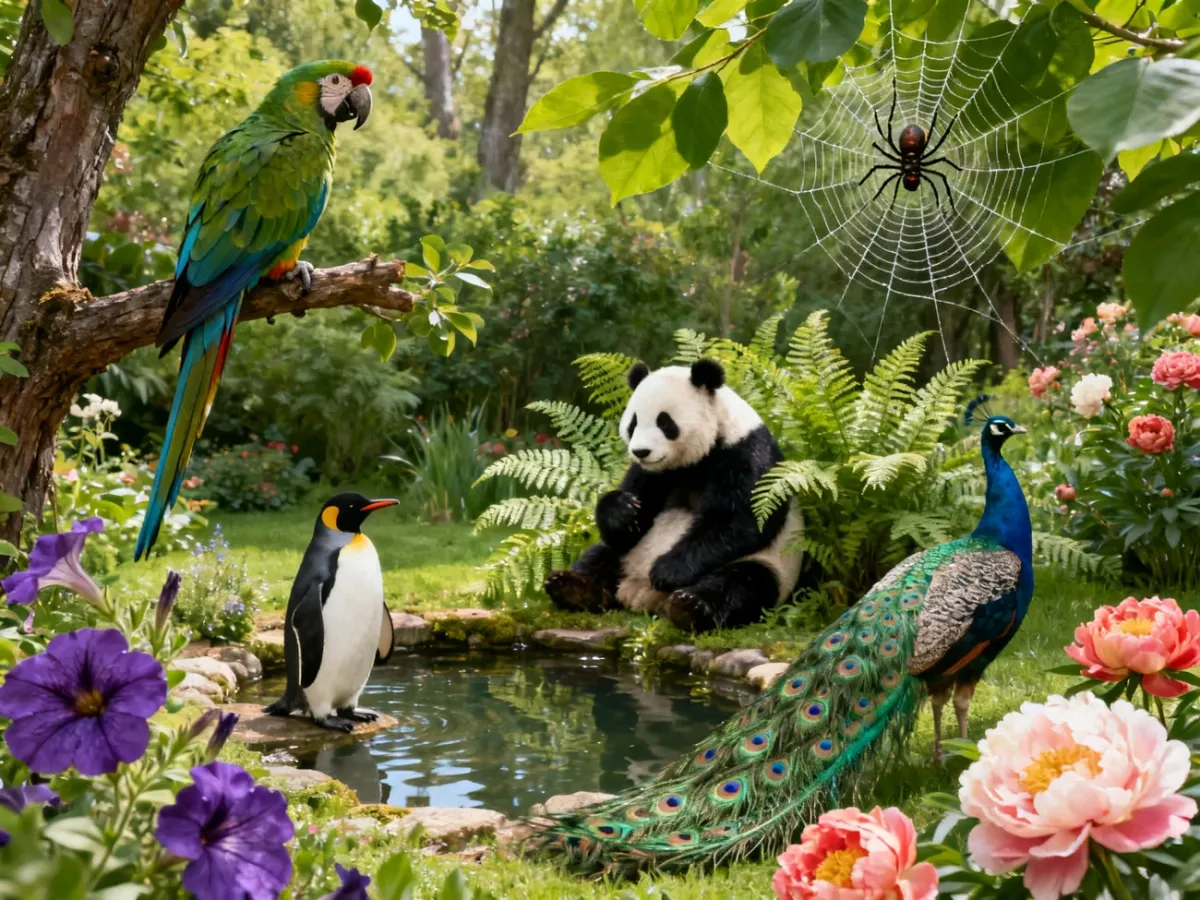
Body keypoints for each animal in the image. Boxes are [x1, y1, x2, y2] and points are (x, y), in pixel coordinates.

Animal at [544, 358, 802, 632]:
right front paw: (623, 510)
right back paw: (572, 588)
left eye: (665, 422)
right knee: (601, 554)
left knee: (741, 584)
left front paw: (666, 571)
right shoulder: (653, 473)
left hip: (773, 564)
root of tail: (638, 596)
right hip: (628, 554)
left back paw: (690, 607)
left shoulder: (746, 453)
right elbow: (632, 515)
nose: (641, 451)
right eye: (633, 423)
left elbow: (741, 520)